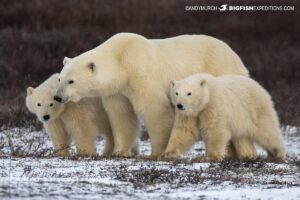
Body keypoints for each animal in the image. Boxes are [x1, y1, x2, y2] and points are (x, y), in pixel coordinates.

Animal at [53, 32, 253, 158]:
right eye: (60, 78)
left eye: (71, 81)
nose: (57, 97)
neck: (121, 60)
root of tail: (235, 55)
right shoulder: (118, 90)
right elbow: (121, 116)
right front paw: (120, 151)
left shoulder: (141, 72)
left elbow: (155, 109)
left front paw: (158, 152)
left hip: (221, 71)